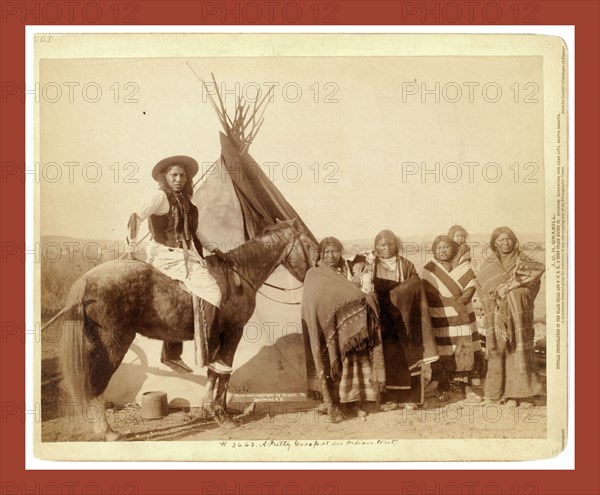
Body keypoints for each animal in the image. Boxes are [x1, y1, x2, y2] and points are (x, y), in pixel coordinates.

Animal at [50, 221, 318, 442]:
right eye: (307, 244)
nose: (313, 272)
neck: (239, 277)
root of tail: (87, 278)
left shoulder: (216, 337)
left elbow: (213, 372)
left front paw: (210, 410)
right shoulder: (233, 333)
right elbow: (224, 372)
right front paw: (223, 416)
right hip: (113, 344)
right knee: (97, 382)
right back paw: (107, 432)